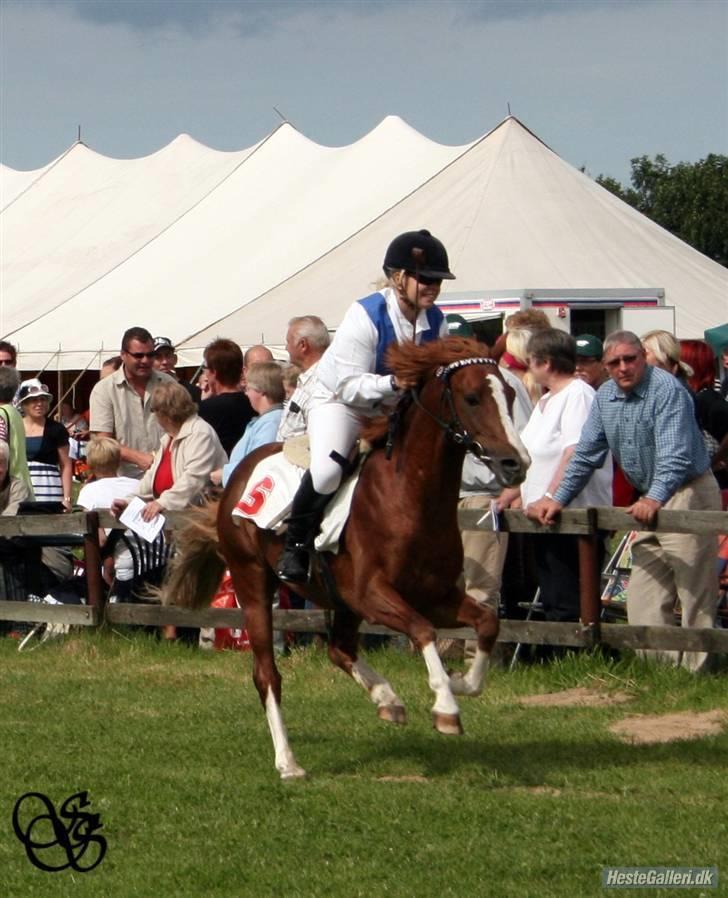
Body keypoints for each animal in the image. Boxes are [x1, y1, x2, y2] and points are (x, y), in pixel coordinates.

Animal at [165, 338, 528, 776]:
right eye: (472, 397)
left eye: (510, 395)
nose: (516, 463)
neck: (411, 498)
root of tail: (239, 471)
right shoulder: (371, 594)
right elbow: (423, 630)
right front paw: (446, 705)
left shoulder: (435, 596)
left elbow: (488, 623)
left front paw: (460, 682)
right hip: (254, 583)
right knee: (267, 673)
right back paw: (288, 762)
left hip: (336, 599)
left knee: (339, 648)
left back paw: (387, 699)